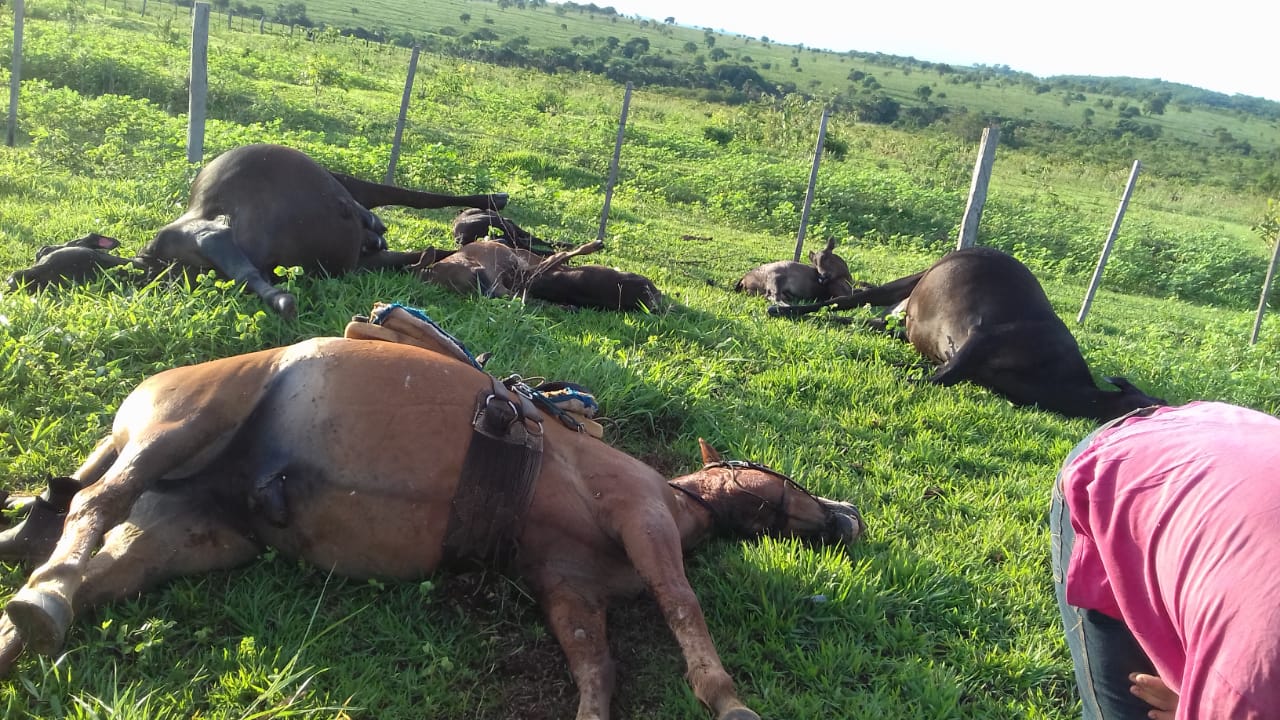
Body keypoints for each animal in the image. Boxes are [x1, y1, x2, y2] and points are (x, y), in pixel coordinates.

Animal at [0, 333, 865, 717]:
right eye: (784, 477)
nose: (850, 516)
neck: (682, 502)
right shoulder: (641, 519)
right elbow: (685, 608)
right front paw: (727, 700)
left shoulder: (570, 592)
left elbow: (597, 668)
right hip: (179, 427)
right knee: (91, 505)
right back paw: (39, 600)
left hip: (186, 535)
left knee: (93, 566)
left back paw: (29, 625)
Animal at [10, 142, 509, 316]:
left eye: (44, 254)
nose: (15, 277)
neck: (153, 265)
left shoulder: (206, 232)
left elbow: (248, 272)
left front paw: (282, 301)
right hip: (365, 257)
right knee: (422, 253)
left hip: (350, 184)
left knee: (417, 197)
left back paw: (494, 201)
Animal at [762, 244, 1167, 420]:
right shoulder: (983, 338)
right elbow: (943, 376)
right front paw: (906, 378)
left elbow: (942, 372)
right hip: (916, 280)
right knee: (854, 300)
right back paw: (784, 309)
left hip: (899, 322)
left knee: (858, 320)